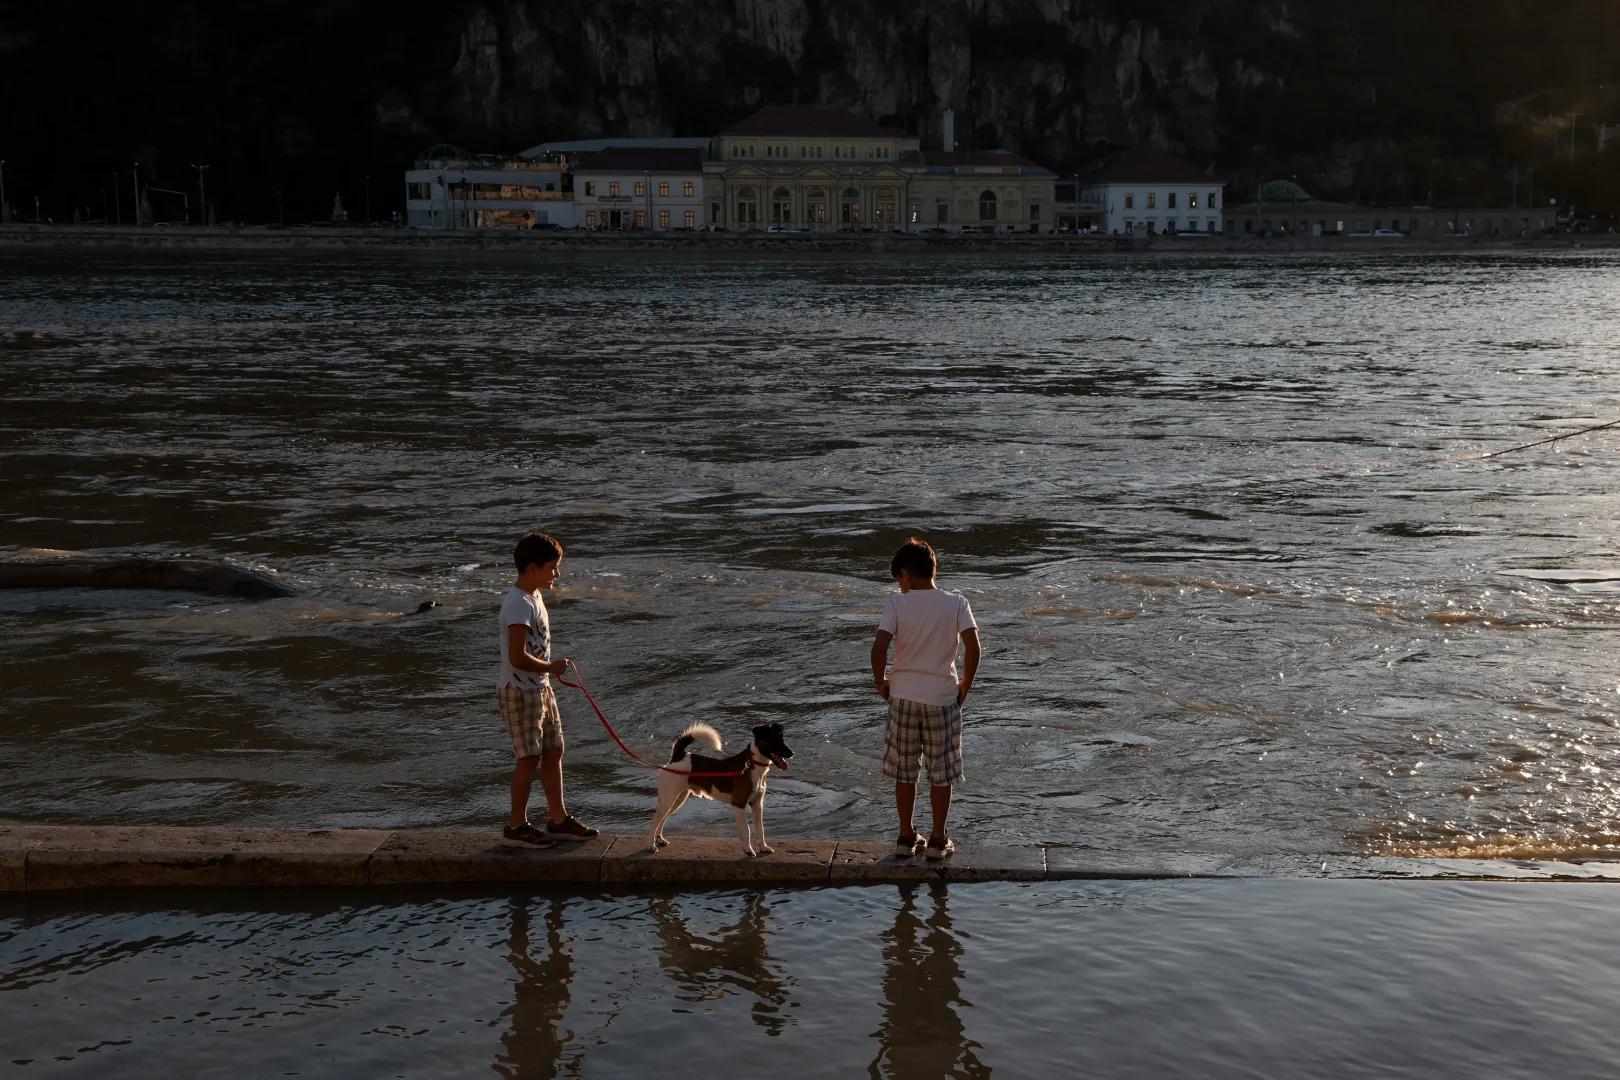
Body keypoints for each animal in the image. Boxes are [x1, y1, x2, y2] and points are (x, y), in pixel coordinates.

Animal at [648, 725, 793, 861]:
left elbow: (760, 829)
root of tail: (679, 756)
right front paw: (748, 850)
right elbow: (747, 830)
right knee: (654, 821)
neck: (751, 766)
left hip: (677, 799)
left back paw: (660, 839)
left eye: (782, 737)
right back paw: (651, 846)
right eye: (774, 739)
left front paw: (763, 847)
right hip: (668, 799)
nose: (791, 753)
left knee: (662, 819)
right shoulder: (738, 804)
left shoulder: (757, 804)